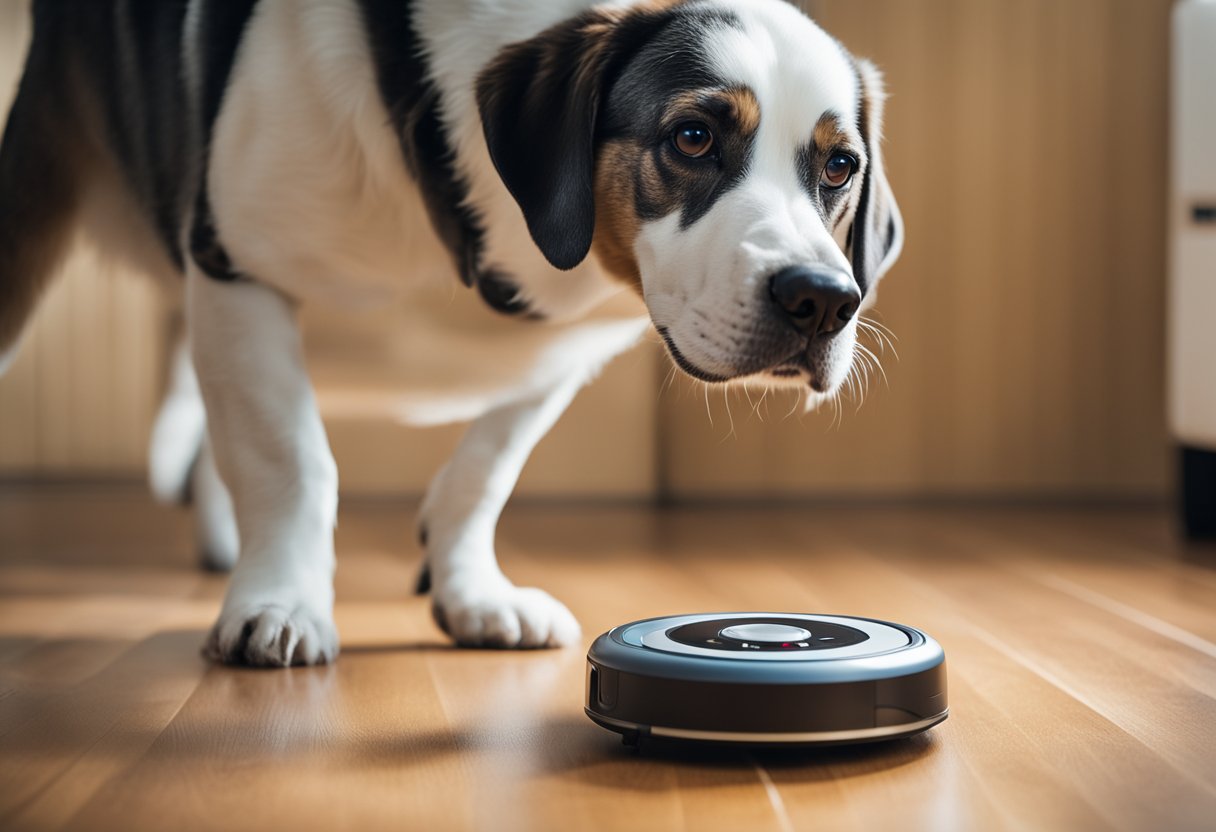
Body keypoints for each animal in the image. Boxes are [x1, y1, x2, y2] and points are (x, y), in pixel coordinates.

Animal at [2, 0, 904, 661]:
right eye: (693, 137)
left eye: (839, 166)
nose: (824, 301)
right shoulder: (238, 273)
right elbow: (288, 461)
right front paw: (281, 601)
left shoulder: (560, 353)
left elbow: (486, 469)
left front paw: (467, 587)